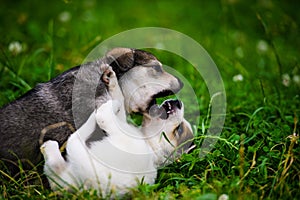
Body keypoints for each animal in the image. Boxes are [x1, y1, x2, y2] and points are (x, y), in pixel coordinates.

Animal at [39, 66, 193, 197]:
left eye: (179, 129)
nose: (179, 103)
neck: (148, 143)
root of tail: (83, 190)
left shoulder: (117, 132)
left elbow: (105, 118)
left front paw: (110, 104)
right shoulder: (122, 124)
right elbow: (119, 100)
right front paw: (112, 81)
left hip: (81, 156)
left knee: (74, 138)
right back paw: (48, 146)